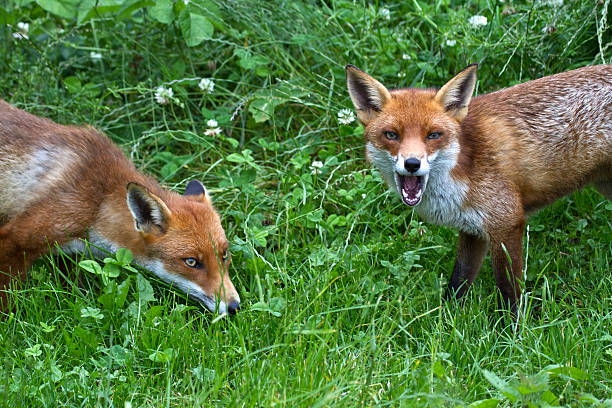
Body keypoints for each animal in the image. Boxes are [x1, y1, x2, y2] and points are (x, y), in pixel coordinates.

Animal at [0, 99, 239, 316]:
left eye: (224, 254)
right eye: (191, 262)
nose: (234, 307)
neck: (98, 204)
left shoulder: (70, 255)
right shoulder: (16, 237)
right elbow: (7, 296)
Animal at [346, 63, 608, 316]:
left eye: (433, 135)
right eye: (391, 135)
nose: (412, 164)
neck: (462, 168)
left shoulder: (507, 222)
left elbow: (509, 293)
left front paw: (511, 328)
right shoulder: (471, 229)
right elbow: (457, 283)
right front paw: (447, 319)